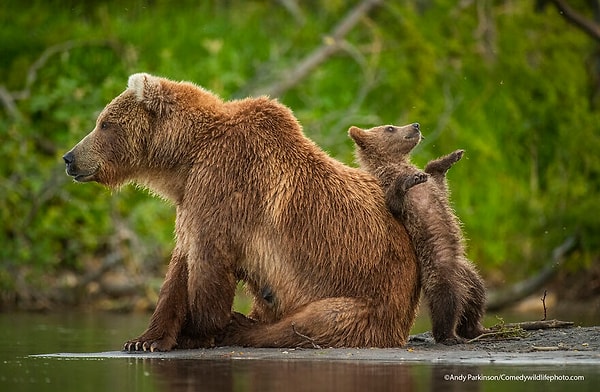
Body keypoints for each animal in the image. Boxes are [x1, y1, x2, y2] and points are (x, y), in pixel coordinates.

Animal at [63, 74, 420, 352]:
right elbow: (179, 266)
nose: (69, 158)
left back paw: (240, 325)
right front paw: (144, 339)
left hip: (369, 294)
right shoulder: (192, 198)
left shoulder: (225, 185)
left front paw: (196, 332)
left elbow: (208, 262)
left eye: (104, 123)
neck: (185, 158)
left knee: (315, 322)